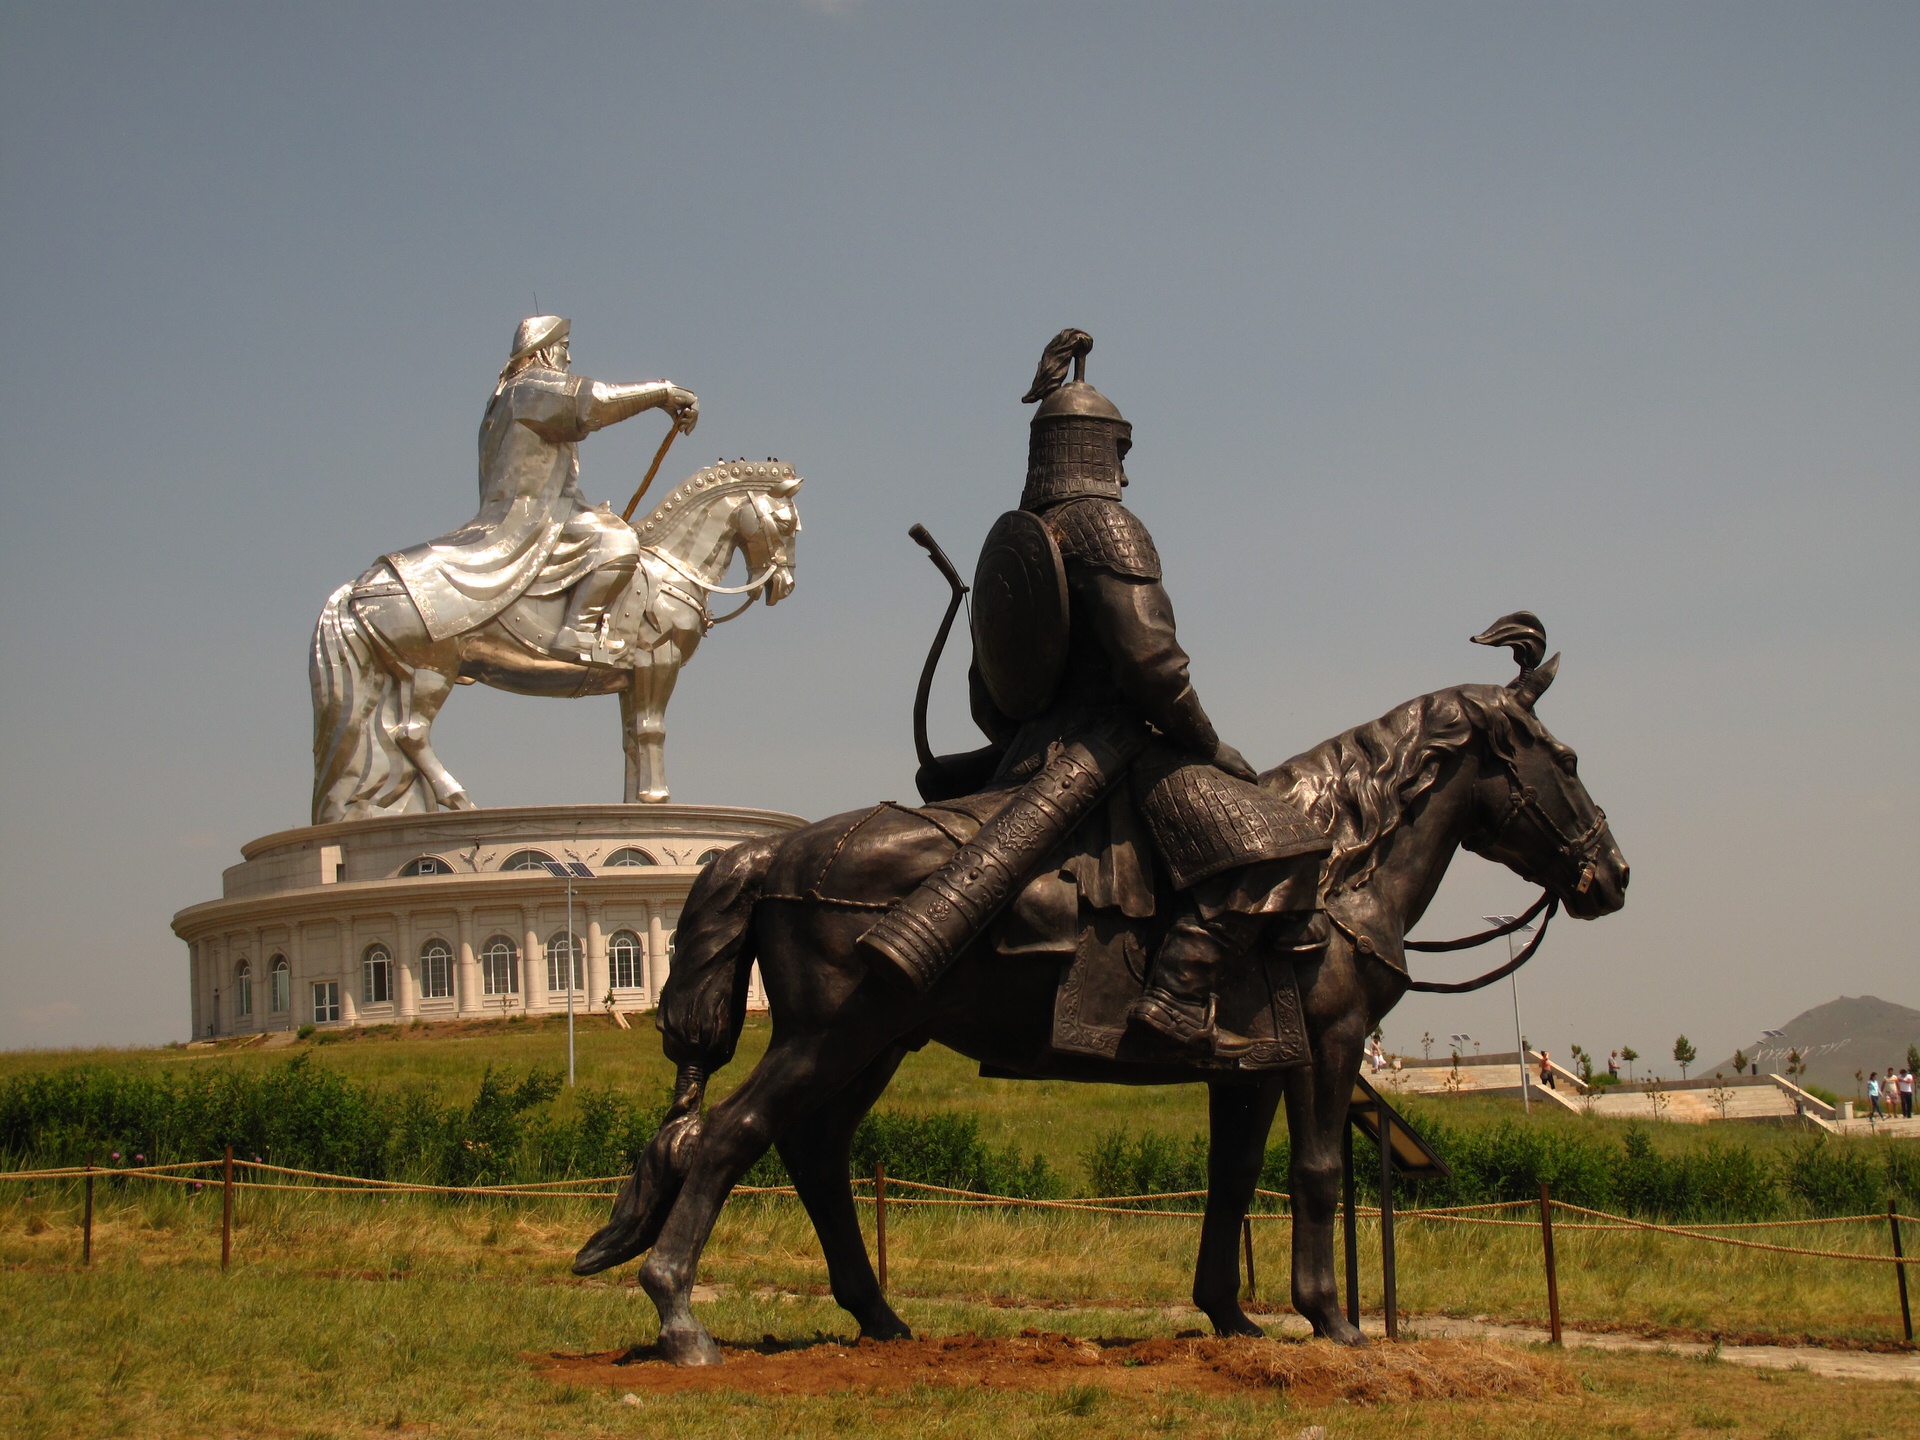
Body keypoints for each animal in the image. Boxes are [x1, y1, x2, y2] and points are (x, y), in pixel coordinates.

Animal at [309, 462, 802, 821]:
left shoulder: (630, 676)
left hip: (404, 674)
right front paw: (658, 799)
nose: (784, 585)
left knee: (391, 739)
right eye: (786, 523)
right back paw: (459, 801)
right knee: (410, 734)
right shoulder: (657, 661)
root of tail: (363, 584)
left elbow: (631, 738)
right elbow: (652, 730)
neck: (671, 566)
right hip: (432, 668)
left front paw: (634, 802)